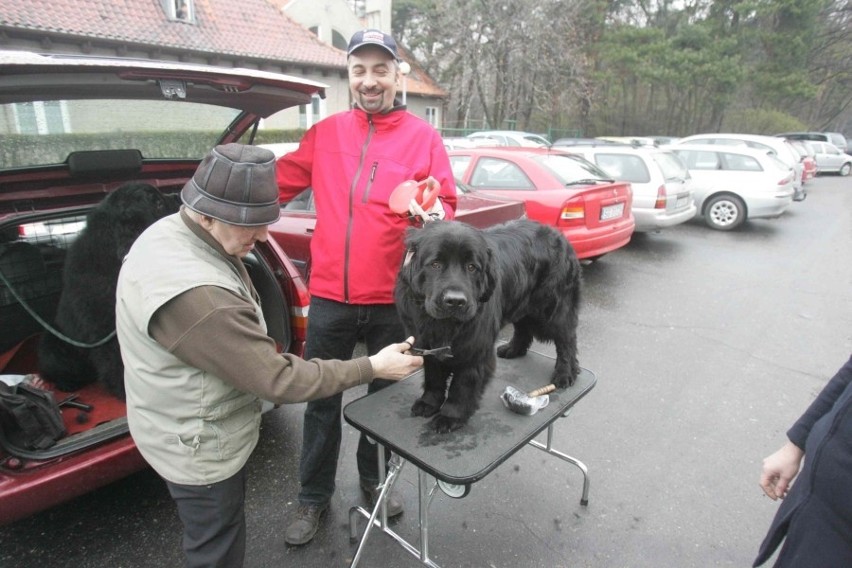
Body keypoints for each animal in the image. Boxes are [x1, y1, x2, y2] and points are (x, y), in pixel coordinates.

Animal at [39, 183, 179, 400]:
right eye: (157, 203)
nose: (180, 196)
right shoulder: (104, 329)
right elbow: (116, 360)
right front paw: (124, 389)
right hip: (52, 342)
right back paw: (67, 384)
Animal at [392, 220, 580, 432]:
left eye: (472, 267)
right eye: (435, 264)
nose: (455, 301)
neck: (444, 324)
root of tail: (558, 234)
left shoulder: (475, 349)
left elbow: (462, 386)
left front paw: (450, 416)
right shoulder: (426, 343)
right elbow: (433, 376)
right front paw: (428, 403)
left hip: (556, 309)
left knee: (566, 340)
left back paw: (565, 374)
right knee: (523, 328)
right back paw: (513, 349)